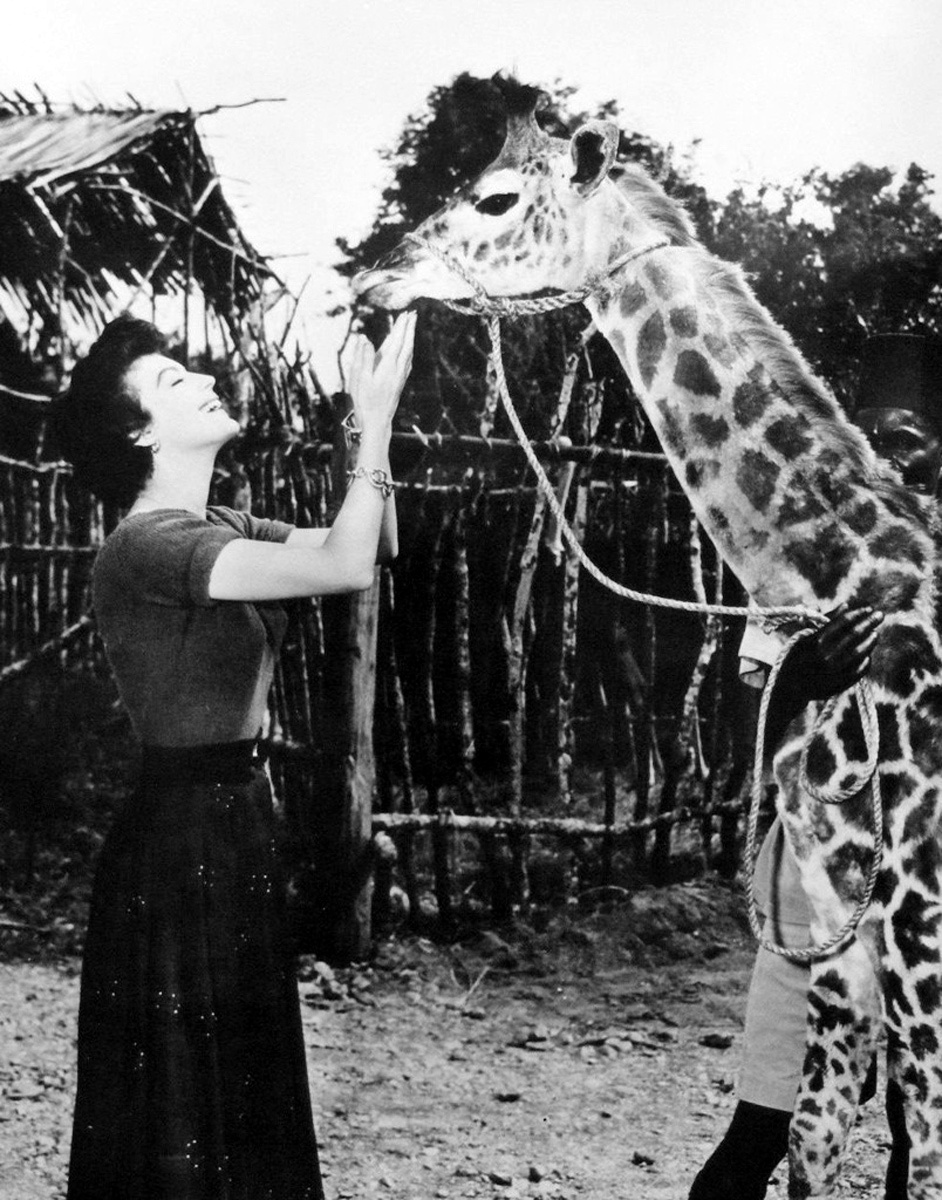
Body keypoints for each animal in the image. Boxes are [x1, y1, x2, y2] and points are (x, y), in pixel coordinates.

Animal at [353, 81, 942, 1198]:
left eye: (496, 197)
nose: (371, 275)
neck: (866, 584)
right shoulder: (841, 945)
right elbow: (812, 1139)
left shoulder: (926, 934)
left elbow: (920, 1152)